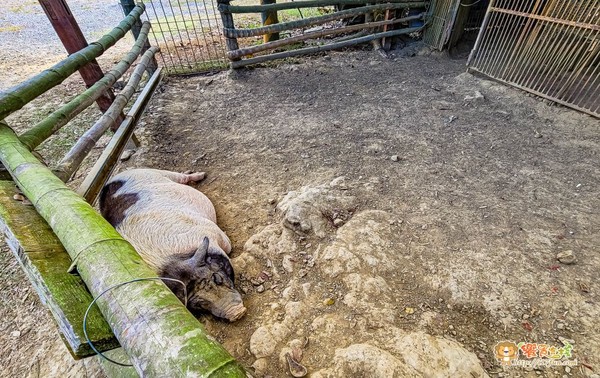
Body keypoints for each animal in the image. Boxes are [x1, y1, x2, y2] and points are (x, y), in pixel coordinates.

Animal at [98, 170, 246, 320]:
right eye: (200, 304)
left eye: (217, 279)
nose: (236, 313)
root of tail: (110, 181)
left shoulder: (214, 232)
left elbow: (228, 245)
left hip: (154, 172)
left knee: (181, 177)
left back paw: (200, 175)